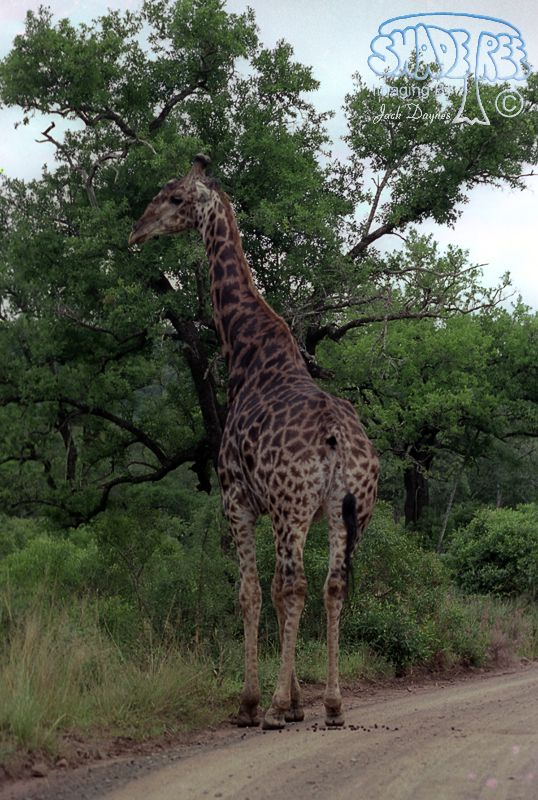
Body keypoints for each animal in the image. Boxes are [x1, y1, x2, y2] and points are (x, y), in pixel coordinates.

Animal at [129, 154, 379, 729]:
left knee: (295, 585)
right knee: (333, 585)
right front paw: (294, 701)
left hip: (293, 506)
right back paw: (332, 705)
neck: (244, 351)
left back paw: (275, 709)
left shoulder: (237, 499)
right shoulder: (283, 508)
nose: (137, 231)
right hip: (349, 510)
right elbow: (273, 592)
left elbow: (249, 592)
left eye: (174, 197)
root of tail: (338, 440)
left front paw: (253, 703)